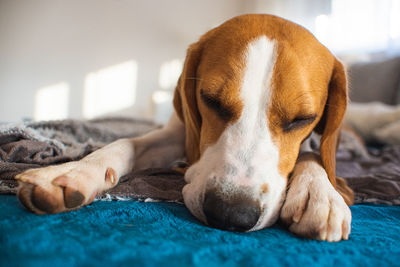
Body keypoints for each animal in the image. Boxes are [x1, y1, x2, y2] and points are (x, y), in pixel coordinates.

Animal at [15, 14, 354, 243]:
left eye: (302, 119)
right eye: (211, 100)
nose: (230, 213)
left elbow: (314, 156)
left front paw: (319, 193)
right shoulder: (175, 136)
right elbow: (124, 144)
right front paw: (76, 171)